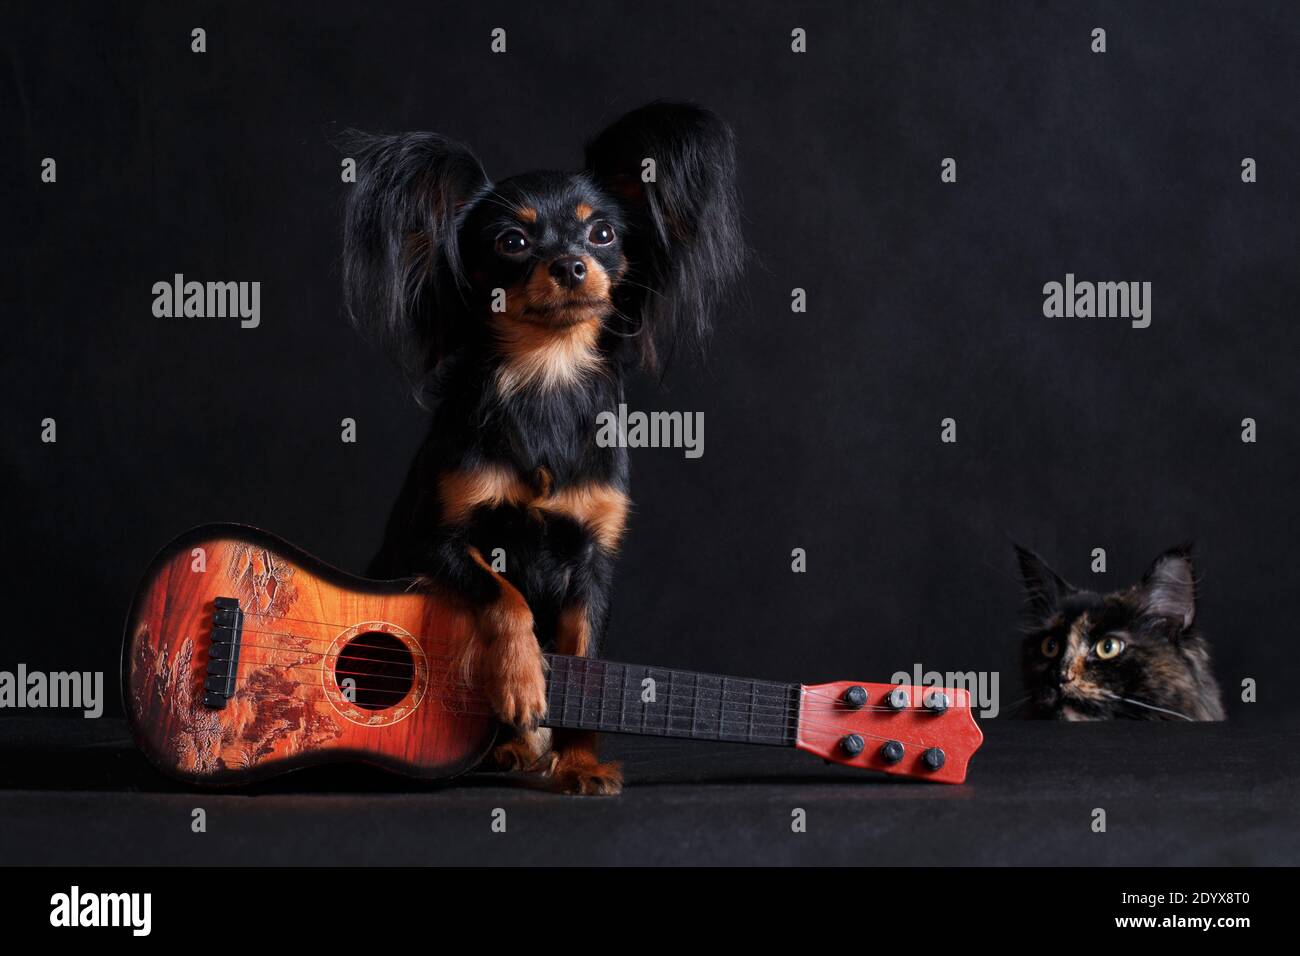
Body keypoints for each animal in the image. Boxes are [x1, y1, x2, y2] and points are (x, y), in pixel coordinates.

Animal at [345, 102, 743, 790]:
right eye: (513, 242)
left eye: (602, 234)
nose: (571, 264)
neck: (545, 373)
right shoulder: (433, 543)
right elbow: (504, 596)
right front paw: (522, 681)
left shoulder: (593, 561)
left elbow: (587, 667)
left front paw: (580, 763)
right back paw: (508, 745)